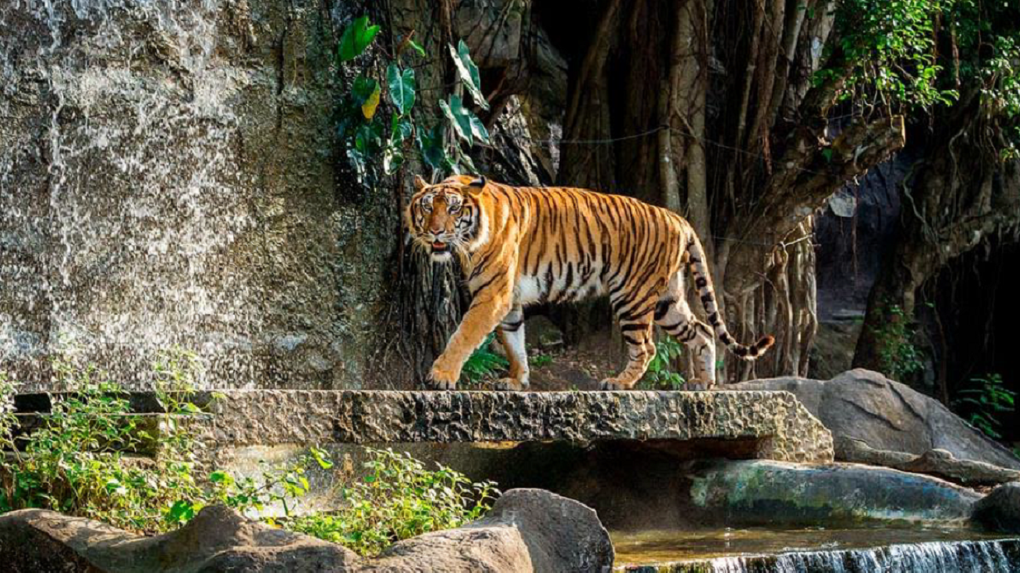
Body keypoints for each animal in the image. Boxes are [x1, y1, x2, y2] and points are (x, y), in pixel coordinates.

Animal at [405, 173, 771, 387]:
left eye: (453, 209)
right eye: (427, 207)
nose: (435, 231)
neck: (469, 240)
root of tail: (678, 217)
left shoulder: (492, 295)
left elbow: (463, 335)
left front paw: (440, 376)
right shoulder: (508, 300)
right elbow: (514, 342)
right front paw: (517, 382)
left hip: (633, 296)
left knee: (647, 347)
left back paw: (619, 383)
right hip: (668, 300)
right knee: (704, 331)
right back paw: (704, 384)